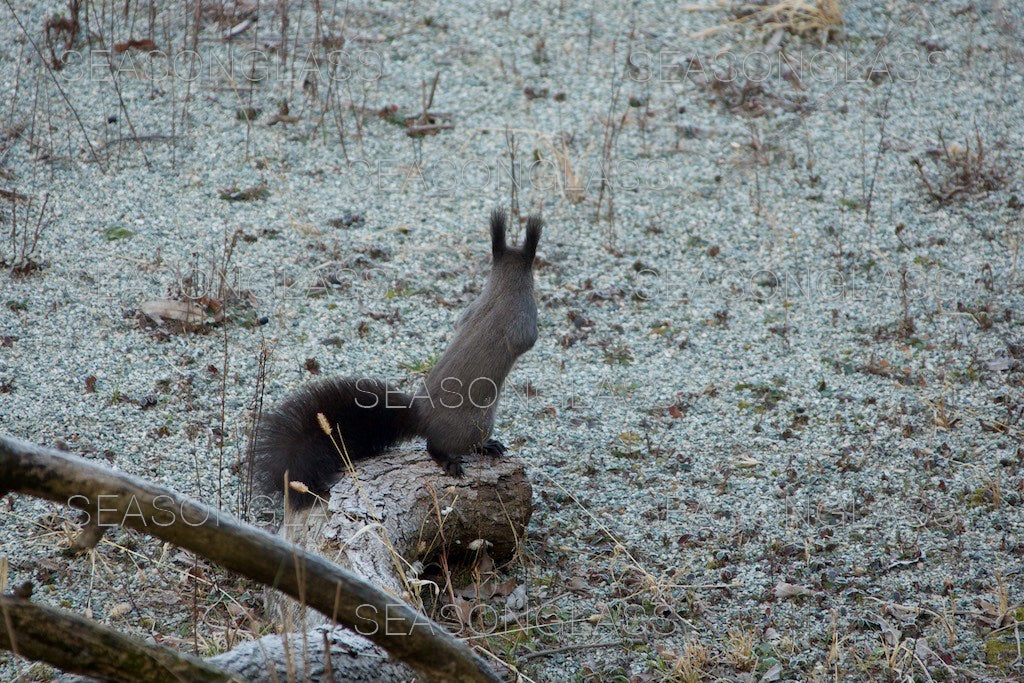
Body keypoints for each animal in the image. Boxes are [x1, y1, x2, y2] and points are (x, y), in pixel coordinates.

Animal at [253, 208, 544, 507]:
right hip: (477, 424)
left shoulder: (471, 309)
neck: (502, 287)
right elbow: (526, 339)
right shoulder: (521, 317)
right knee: (435, 446)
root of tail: (420, 418)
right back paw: (462, 456)